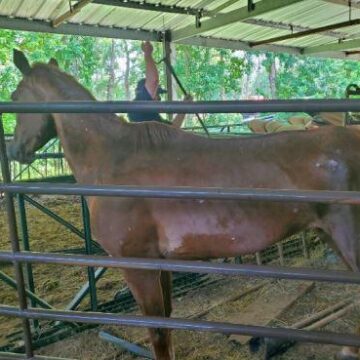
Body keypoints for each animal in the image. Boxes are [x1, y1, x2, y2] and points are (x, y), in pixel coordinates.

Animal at [7, 48, 360, 360]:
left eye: (14, 96)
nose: (14, 150)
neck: (114, 159)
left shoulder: (138, 266)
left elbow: (158, 333)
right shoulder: (160, 264)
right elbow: (167, 322)